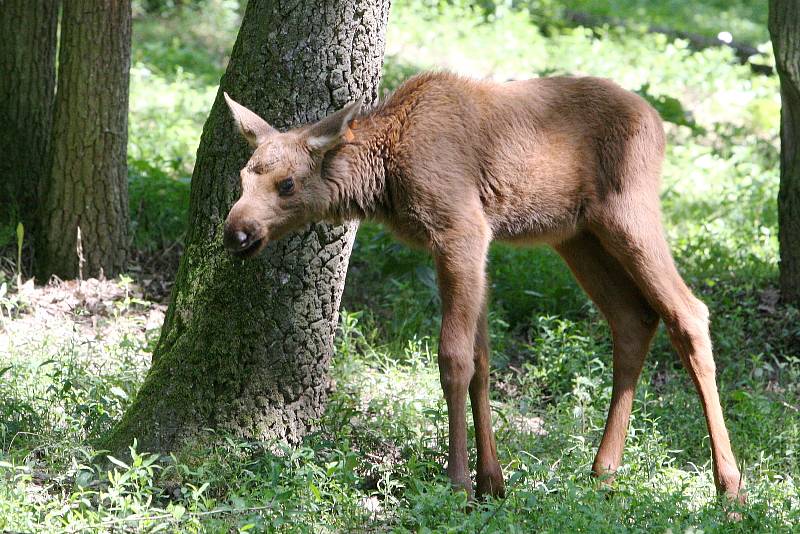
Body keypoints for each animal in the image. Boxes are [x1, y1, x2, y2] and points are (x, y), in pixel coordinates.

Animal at [220, 73, 744, 504]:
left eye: (288, 184)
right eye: (243, 176)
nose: (236, 233)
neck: (384, 177)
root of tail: (658, 123)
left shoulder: (460, 229)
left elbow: (453, 358)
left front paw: (458, 482)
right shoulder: (472, 242)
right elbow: (483, 359)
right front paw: (493, 480)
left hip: (628, 211)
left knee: (689, 313)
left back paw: (730, 485)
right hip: (579, 236)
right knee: (633, 318)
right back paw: (604, 470)